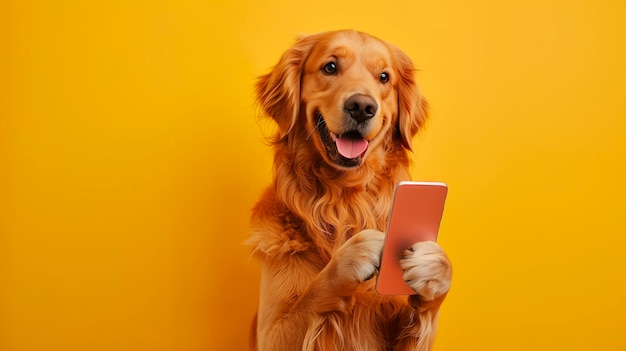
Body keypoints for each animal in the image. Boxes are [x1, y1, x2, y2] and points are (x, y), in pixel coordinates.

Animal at [246, 30, 450, 351]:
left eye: (383, 77)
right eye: (330, 67)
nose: (362, 106)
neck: (344, 199)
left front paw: (436, 266)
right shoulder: (269, 333)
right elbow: (314, 294)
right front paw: (355, 253)